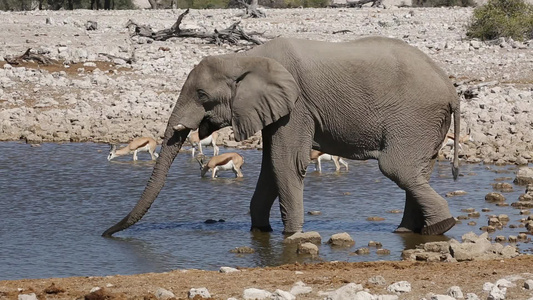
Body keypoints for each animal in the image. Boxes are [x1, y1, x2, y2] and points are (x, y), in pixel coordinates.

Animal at [102, 35, 460, 237]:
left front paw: (291, 235)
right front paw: (261, 231)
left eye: (202, 95)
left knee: (397, 168)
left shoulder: (297, 105)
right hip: (426, 124)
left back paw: (442, 227)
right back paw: (410, 231)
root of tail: (452, 89)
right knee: (417, 170)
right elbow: (270, 167)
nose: (105, 233)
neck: (245, 56)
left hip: (414, 117)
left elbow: (285, 161)